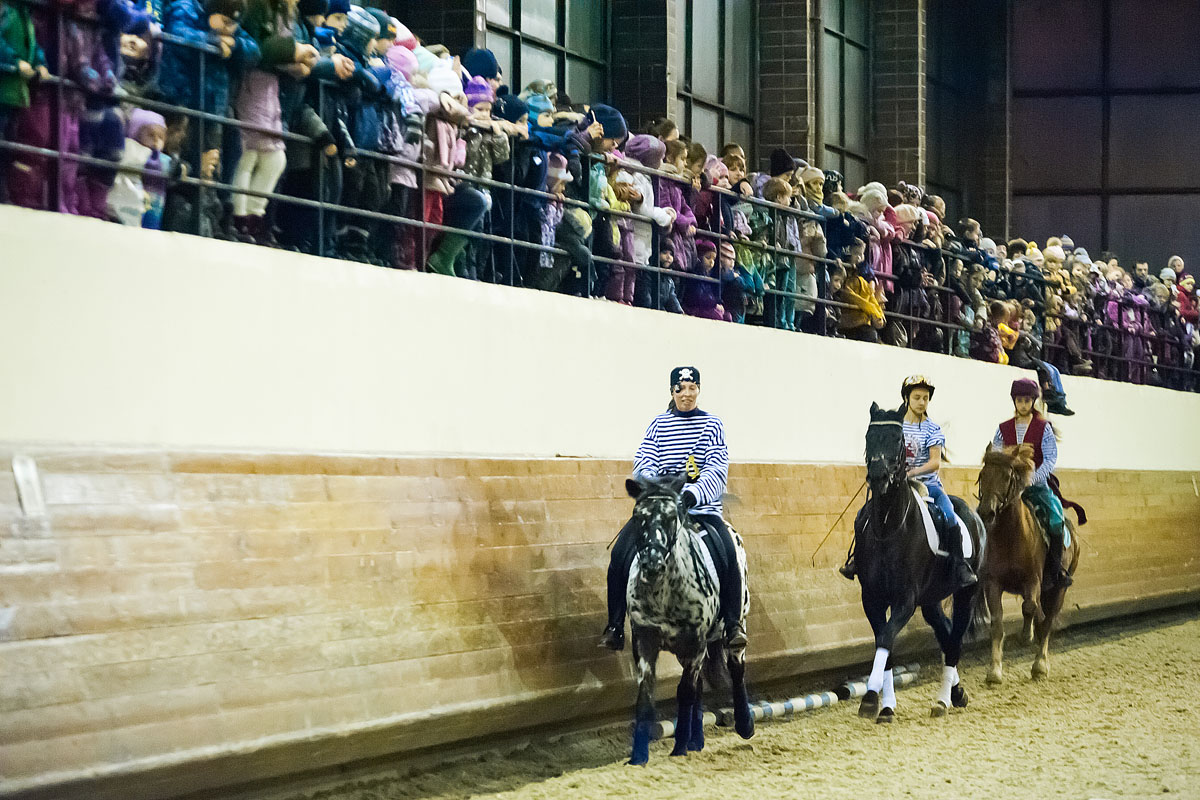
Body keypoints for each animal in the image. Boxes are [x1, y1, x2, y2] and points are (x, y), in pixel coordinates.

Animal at [623, 474, 754, 765]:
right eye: (638, 516)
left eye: (672, 517)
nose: (652, 564)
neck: (663, 592)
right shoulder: (645, 640)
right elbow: (646, 696)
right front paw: (638, 757)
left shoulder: (696, 642)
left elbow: (684, 693)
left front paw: (679, 747)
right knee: (699, 687)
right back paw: (697, 740)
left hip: (734, 627)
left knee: (736, 668)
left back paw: (744, 725)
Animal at [853, 403, 987, 721]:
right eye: (868, 437)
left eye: (897, 439)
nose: (878, 476)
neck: (888, 528)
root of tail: (975, 517)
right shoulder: (872, 598)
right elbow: (885, 645)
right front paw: (886, 706)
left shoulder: (905, 599)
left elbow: (886, 638)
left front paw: (870, 698)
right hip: (931, 600)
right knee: (946, 634)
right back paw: (956, 693)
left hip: (966, 592)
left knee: (955, 640)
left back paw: (942, 701)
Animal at [975, 444, 1081, 683]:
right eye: (982, 475)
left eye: (1007, 477)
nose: (986, 512)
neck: (1009, 536)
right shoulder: (993, 583)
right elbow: (997, 623)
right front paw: (994, 671)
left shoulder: (1033, 580)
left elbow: (1029, 608)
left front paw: (1026, 636)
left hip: (1058, 589)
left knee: (1047, 621)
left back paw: (1040, 665)